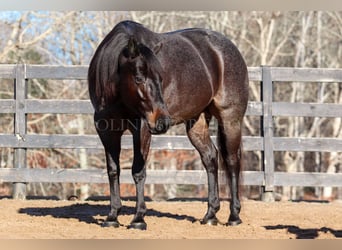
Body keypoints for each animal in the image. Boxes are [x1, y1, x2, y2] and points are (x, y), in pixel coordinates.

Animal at [88, 20, 248, 229]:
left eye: (161, 78)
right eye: (139, 78)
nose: (162, 121)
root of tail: (228, 48)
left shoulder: (142, 129)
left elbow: (138, 171)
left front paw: (138, 219)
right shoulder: (107, 131)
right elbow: (113, 171)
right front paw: (112, 216)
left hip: (230, 119)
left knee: (231, 161)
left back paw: (234, 216)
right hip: (196, 123)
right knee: (211, 157)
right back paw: (210, 215)